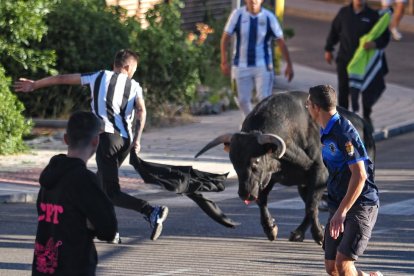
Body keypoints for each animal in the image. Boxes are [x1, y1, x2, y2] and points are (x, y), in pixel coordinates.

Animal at [195, 91, 376, 245]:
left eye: (256, 161)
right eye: (234, 162)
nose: (245, 193)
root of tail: (363, 124)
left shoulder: (319, 174)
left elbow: (311, 206)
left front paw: (319, 235)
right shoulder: (269, 178)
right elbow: (263, 201)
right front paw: (270, 229)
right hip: (302, 186)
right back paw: (297, 233)